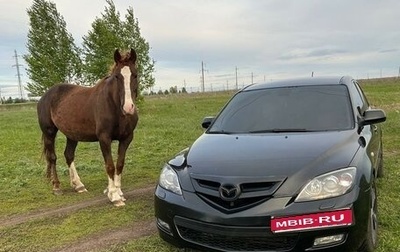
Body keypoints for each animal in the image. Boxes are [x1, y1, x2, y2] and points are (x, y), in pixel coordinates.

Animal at [37, 48, 139, 206]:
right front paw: (114, 196)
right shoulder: (104, 138)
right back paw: (57, 187)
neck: (114, 106)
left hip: (72, 135)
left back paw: (78, 185)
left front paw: (119, 192)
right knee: (52, 157)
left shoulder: (126, 138)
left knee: (68, 155)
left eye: (135, 74)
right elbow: (110, 166)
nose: (128, 107)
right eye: (117, 76)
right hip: (49, 132)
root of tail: (45, 96)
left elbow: (119, 164)